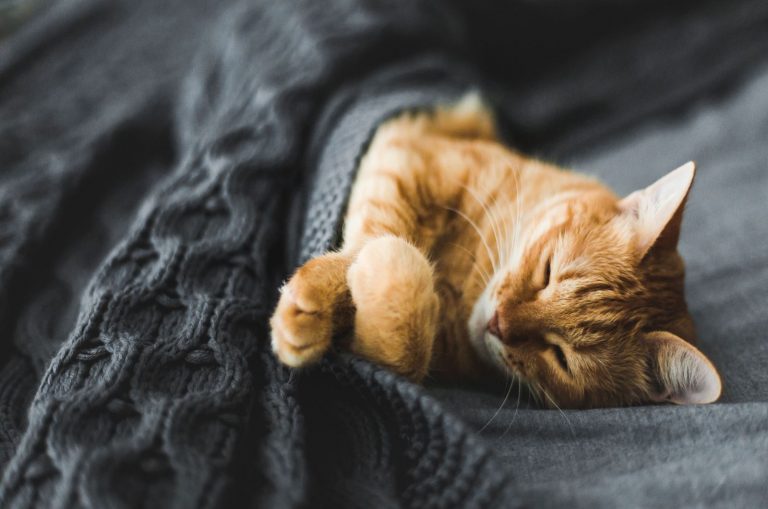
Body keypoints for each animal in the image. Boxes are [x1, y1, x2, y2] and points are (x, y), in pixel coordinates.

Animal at [268, 95, 720, 408]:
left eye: (560, 356)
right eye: (547, 273)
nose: (499, 323)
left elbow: (403, 355)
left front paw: (391, 272)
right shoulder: (408, 154)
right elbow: (374, 235)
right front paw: (320, 296)